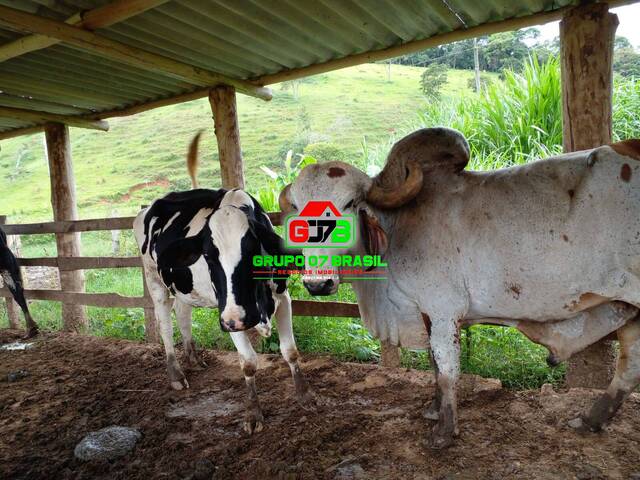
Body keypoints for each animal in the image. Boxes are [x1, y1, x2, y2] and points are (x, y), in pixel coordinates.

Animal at [133, 133, 312, 434]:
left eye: (253, 251)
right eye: (207, 255)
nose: (236, 319)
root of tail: (149, 206)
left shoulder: (283, 297)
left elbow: (290, 351)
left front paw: (303, 394)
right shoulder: (226, 313)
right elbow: (248, 363)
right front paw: (253, 413)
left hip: (184, 286)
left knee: (182, 314)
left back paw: (193, 357)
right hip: (154, 280)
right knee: (165, 325)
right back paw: (176, 373)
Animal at [282, 126, 640, 446]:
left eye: (350, 203)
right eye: (297, 208)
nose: (317, 284)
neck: (400, 226)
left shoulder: (443, 309)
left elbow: (447, 368)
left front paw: (444, 431)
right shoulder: (425, 311)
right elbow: (433, 363)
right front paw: (433, 409)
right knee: (630, 367)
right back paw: (591, 419)